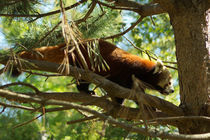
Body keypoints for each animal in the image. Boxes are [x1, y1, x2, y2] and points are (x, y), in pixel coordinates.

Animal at [12, 39, 174, 104]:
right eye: (169, 82)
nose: (172, 91)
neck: (141, 69)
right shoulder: (125, 73)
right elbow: (121, 88)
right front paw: (119, 101)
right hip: (83, 61)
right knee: (83, 78)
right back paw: (85, 90)